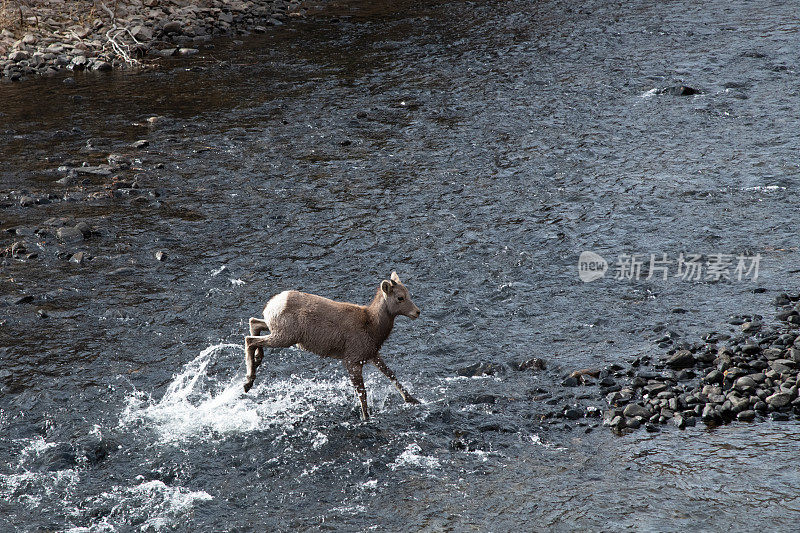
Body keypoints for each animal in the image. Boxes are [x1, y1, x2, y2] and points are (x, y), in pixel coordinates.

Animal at [244, 272, 422, 418]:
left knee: (254, 323)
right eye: (400, 298)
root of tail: (272, 304)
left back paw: (258, 361)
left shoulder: (372, 355)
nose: (417, 312)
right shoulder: (352, 361)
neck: (371, 326)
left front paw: (413, 400)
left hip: (278, 331)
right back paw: (248, 383)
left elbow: (391, 374)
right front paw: (366, 418)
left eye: (408, 294)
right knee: (250, 340)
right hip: (284, 337)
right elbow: (362, 393)